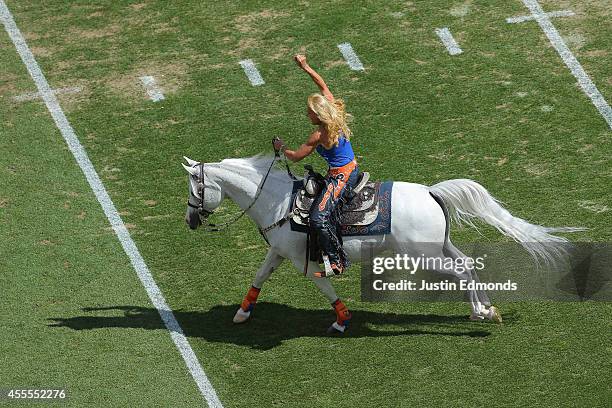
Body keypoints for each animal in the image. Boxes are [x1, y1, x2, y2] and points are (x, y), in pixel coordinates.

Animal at [182, 155, 580, 334]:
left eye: (196, 187)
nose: (190, 221)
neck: (278, 203)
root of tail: (431, 192)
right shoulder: (279, 252)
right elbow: (259, 277)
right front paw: (242, 312)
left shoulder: (303, 261)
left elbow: (325, 288)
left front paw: (342, 320)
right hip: (440, 246)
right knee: (468, 264)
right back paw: (486, 309)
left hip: (424, 256)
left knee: (460, 272)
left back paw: (480, 313)